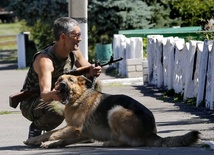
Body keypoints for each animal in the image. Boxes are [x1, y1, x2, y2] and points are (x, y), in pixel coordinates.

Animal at [23, 75, 201, 148]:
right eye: (60, 80)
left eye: (71, 80)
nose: (62, 85)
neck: (79, 98)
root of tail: (151, 132)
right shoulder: (81, 133)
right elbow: (59, 138)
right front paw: (48, 143)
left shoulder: (75, 128)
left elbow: (51, 133)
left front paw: (39, 141)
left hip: (115, 111)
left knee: (129, 142)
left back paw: (110, 143)